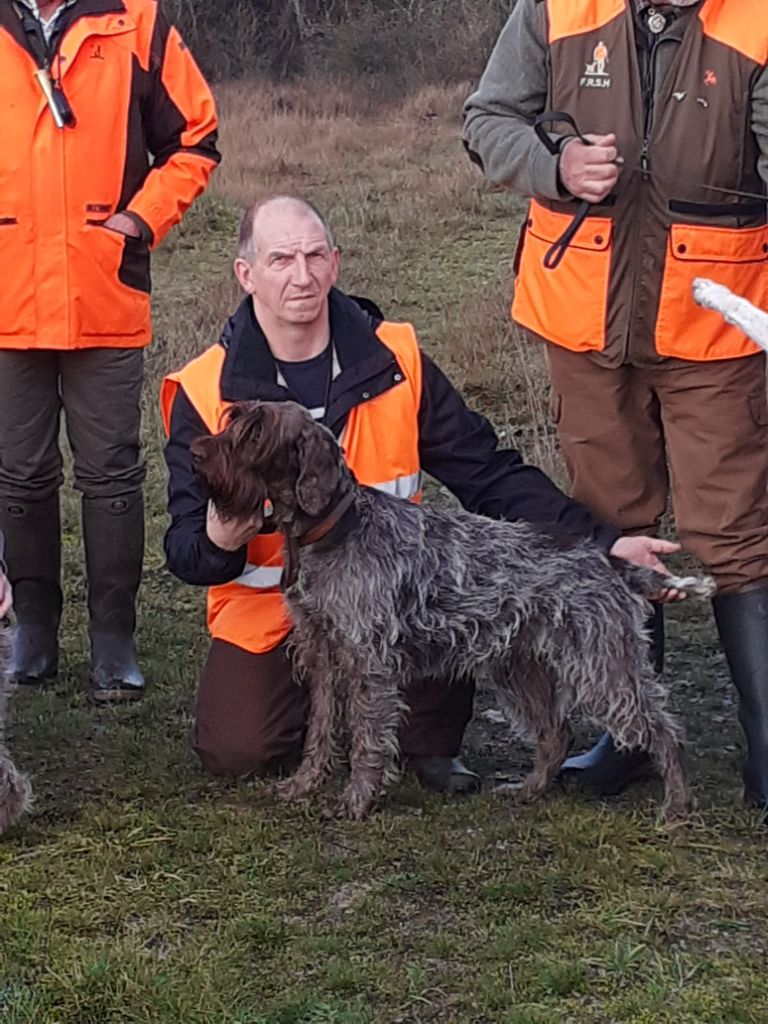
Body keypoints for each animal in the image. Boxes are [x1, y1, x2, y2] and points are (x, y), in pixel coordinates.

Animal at [192, 399, 716, 823]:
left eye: (255, 432)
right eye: (235, 419)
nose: (196, 452)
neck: (332, 529)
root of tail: (609, 559)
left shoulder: (368, 661)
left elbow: (367, 738)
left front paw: (356, 801)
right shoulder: (322, 653)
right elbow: (319, 730)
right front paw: (303, 785)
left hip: (600, 666)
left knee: (664, 730)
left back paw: (677, 807)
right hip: (520, 668)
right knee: (556, 734)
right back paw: (529, 790)